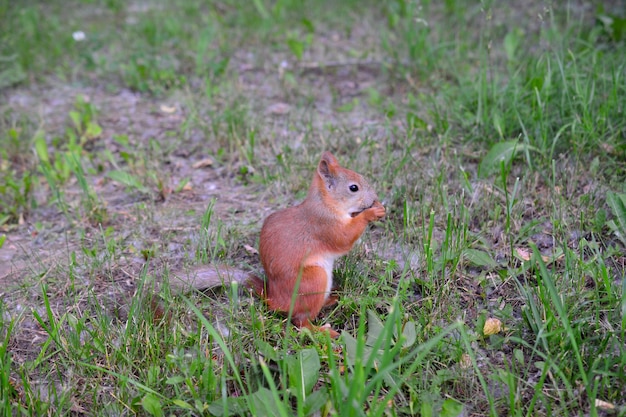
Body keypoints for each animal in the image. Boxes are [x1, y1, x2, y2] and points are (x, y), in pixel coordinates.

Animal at [165, 151, 386, 336]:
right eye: (353, 188)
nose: (375, 197)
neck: (325, 203)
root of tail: (274, 300)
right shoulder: (325, 226)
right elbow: (345, 238)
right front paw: (372, 212)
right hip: (314, 279)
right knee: (300, 322)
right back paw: (323, 331)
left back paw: (330, 300)